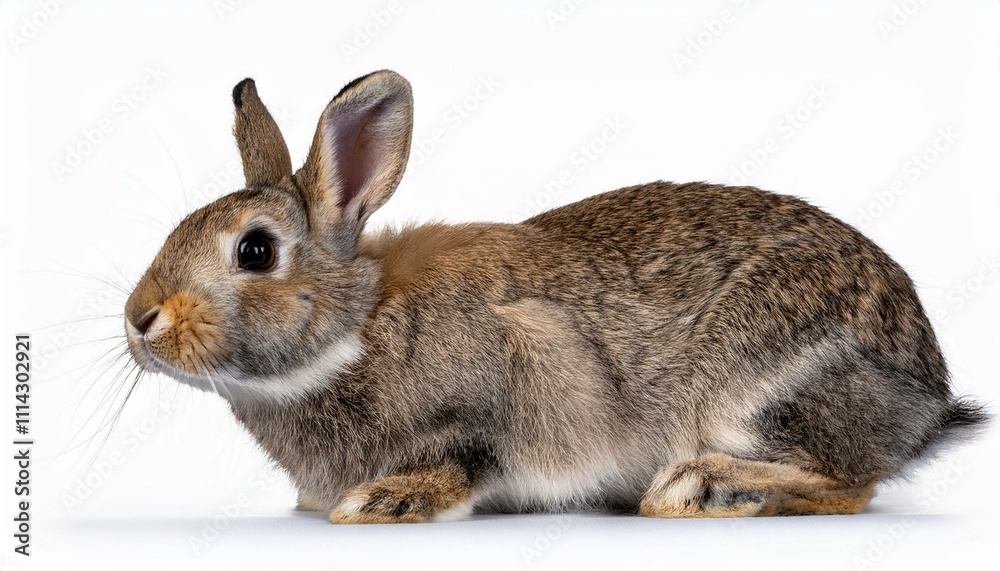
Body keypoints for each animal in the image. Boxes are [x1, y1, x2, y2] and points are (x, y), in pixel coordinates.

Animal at [124, 70, 986, 524]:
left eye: (256, 250)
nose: (140, 320)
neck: (353, 327)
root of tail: (926, 395)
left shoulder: (512, 378)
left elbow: (469, 455)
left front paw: (383, 500)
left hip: (755, 390)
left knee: (851, 481)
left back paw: (702, 486)